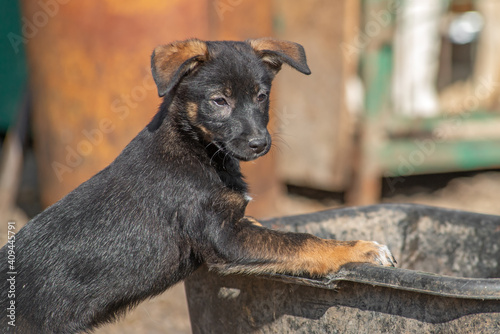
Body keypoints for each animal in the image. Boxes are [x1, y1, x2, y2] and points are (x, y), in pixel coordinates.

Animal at [0, 37, 394, 332]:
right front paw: (361, 249)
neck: (198, 147)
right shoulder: (225, 238)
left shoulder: (235, 223)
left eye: (261, 96)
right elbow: (301, 242)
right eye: (219, 100)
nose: (260, 144)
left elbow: (276, 231)